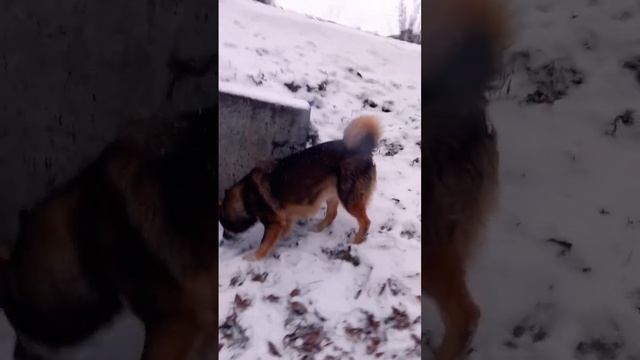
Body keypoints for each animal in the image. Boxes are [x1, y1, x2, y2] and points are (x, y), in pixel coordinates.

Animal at [219, 116, 380, 260]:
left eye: (224, 223)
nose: (224, 238)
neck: (245, 195)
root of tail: (364, 151)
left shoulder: (274, 222)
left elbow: (264, 244)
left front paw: (253, 257)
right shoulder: (285, 220)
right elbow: (280, 234)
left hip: (348, 199)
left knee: (365, 222)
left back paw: (356, 242)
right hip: (331, 192)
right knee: (332, 214)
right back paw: (318, 227)